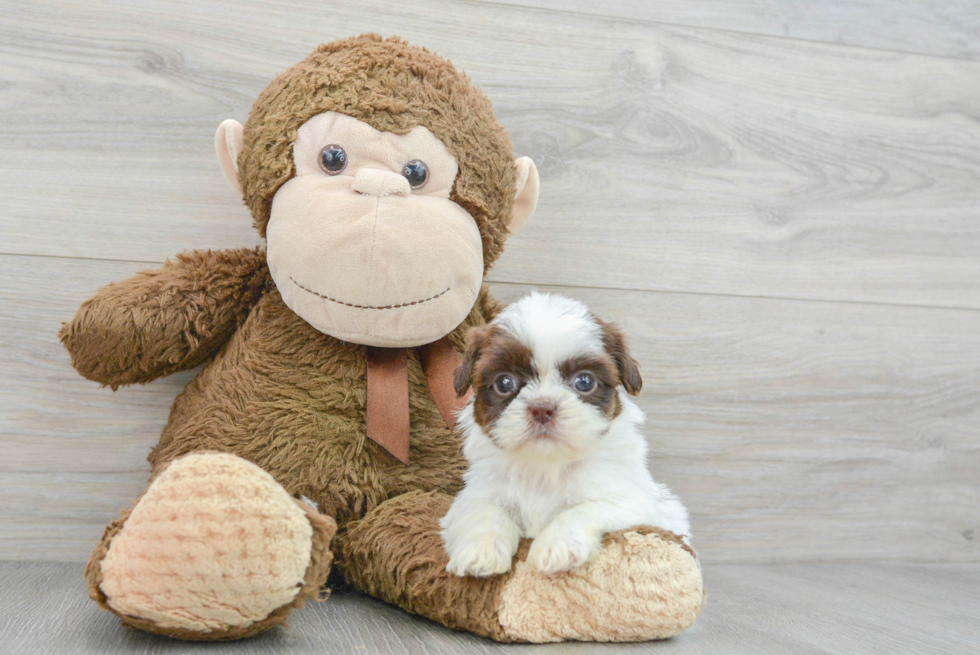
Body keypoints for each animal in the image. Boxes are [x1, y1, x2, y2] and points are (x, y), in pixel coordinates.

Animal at [440, 294, 692, 576]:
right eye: (504, 383)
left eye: (584, 382)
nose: (542, 408)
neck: (544, 466)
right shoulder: (476, 493)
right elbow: (483, 512)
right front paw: (480, 551)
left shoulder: (631, 501)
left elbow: (584, 509)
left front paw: (555, 545)